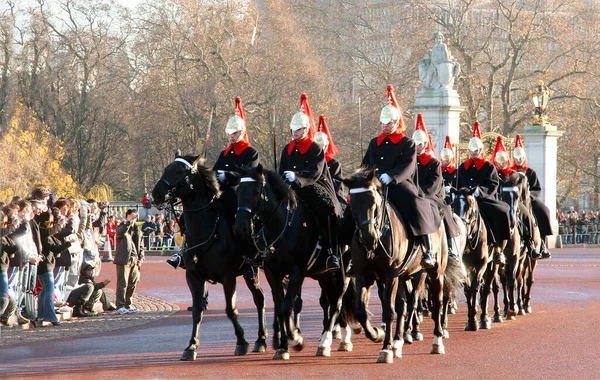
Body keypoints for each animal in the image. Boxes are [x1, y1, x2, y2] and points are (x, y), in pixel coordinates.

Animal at [151, 154, 268, 360]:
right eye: (166, 168)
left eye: (179, 171)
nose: (156, 194)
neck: (205, 228)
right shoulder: (194, 277)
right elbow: (197, 310)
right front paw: (191, 346)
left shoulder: (228, 278)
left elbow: (231, 310)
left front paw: (241, 342)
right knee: (261, 298)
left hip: (253, 271)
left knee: (261, 299)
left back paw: (262, 339)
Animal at [233, 165, 354, 360]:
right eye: (237, 191)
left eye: (255, 192)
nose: (239, 228)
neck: (283, 225)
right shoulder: (272, 273)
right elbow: (280, 305)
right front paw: (283, 346)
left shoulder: (297, 270)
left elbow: (287, 305)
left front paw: (295, 338)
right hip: (325, 275)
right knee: (333, 300)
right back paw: (341, 339)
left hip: (343, 273)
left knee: (337, 303)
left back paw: (326, 342)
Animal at [342, 168, 454, 362]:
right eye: (352, 205)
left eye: (374, 202)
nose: (369, 239)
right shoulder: (364, 275)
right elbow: (361, 311)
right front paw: (377, 334)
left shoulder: (391, 275)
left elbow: (389, 311)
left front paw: (385, 348)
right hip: (404, 275)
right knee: (403, 306)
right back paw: (398, 341)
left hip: (434, 272)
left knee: (436, 301)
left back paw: (436, 341)